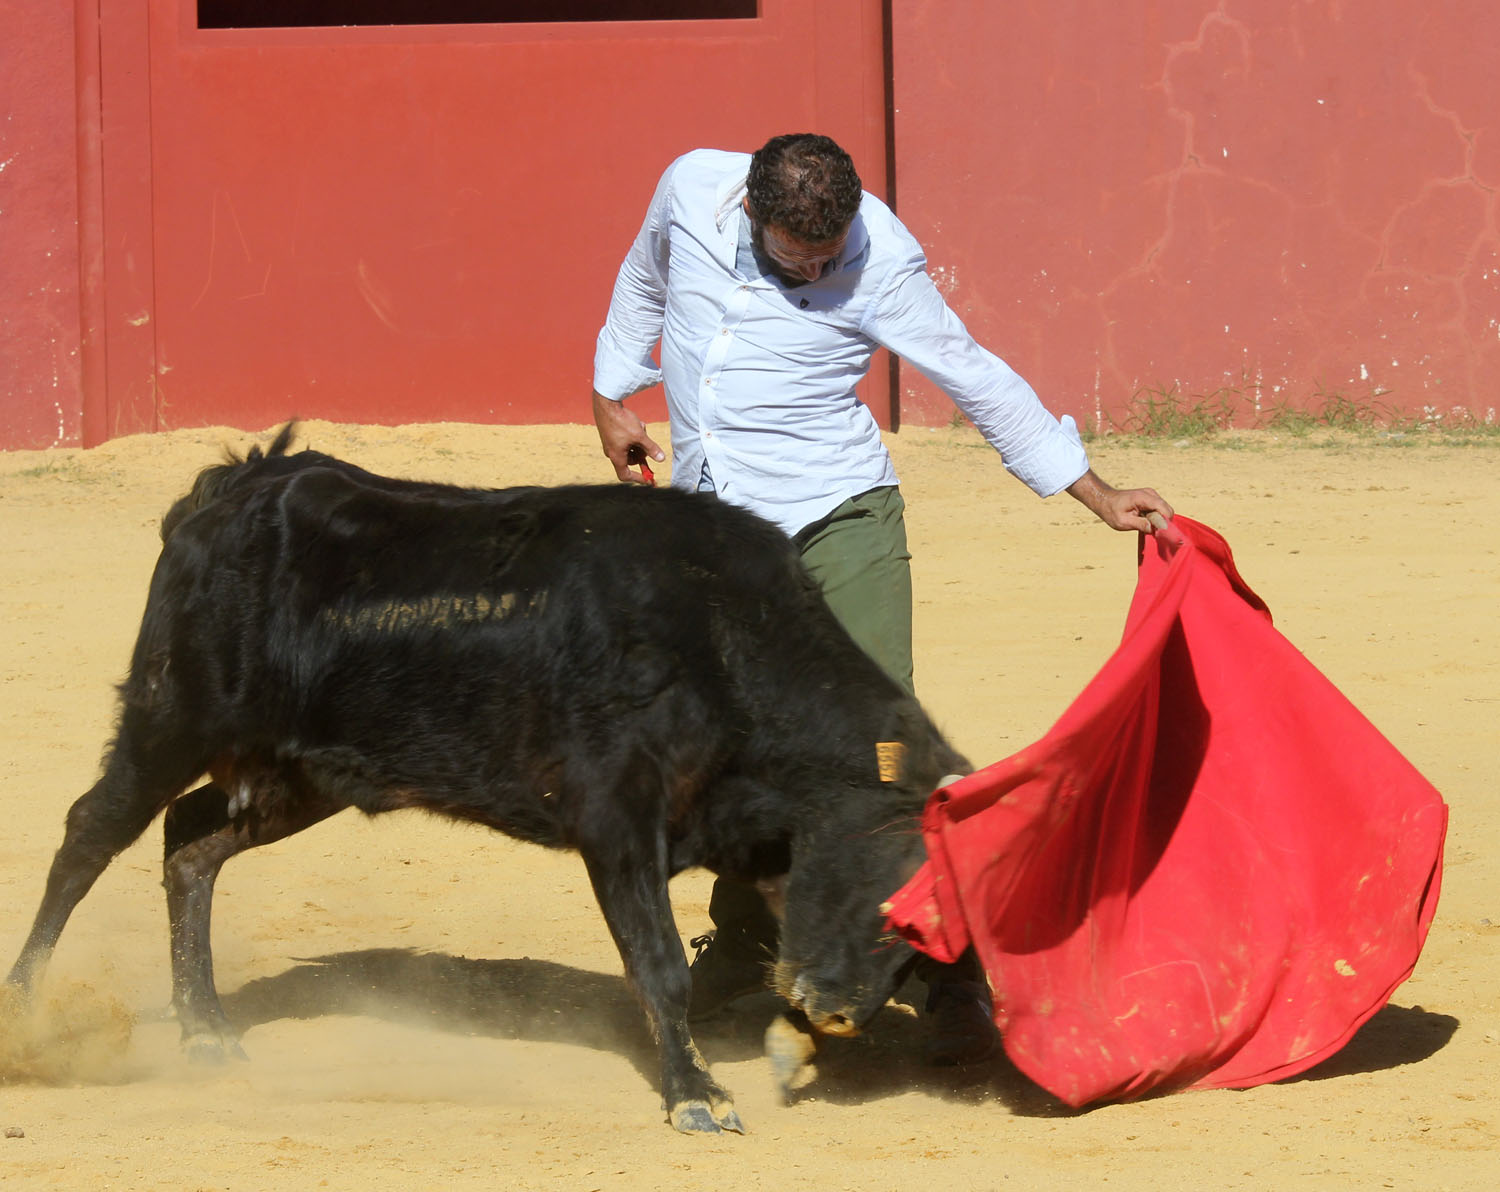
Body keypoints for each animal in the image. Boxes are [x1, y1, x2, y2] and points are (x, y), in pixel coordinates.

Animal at [5, 425, 966, 1127]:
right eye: (887, 888)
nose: (835, 1008)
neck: (721, 637)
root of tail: (238, 487)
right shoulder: (617, 819)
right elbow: (660, 962)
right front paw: (696, 1096)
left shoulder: (752, 835)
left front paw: (788, 1047)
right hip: (173, 718)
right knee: (90, 834)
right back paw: (26, 1016)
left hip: (301, 774)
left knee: (190, 844)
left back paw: (206, 1034)